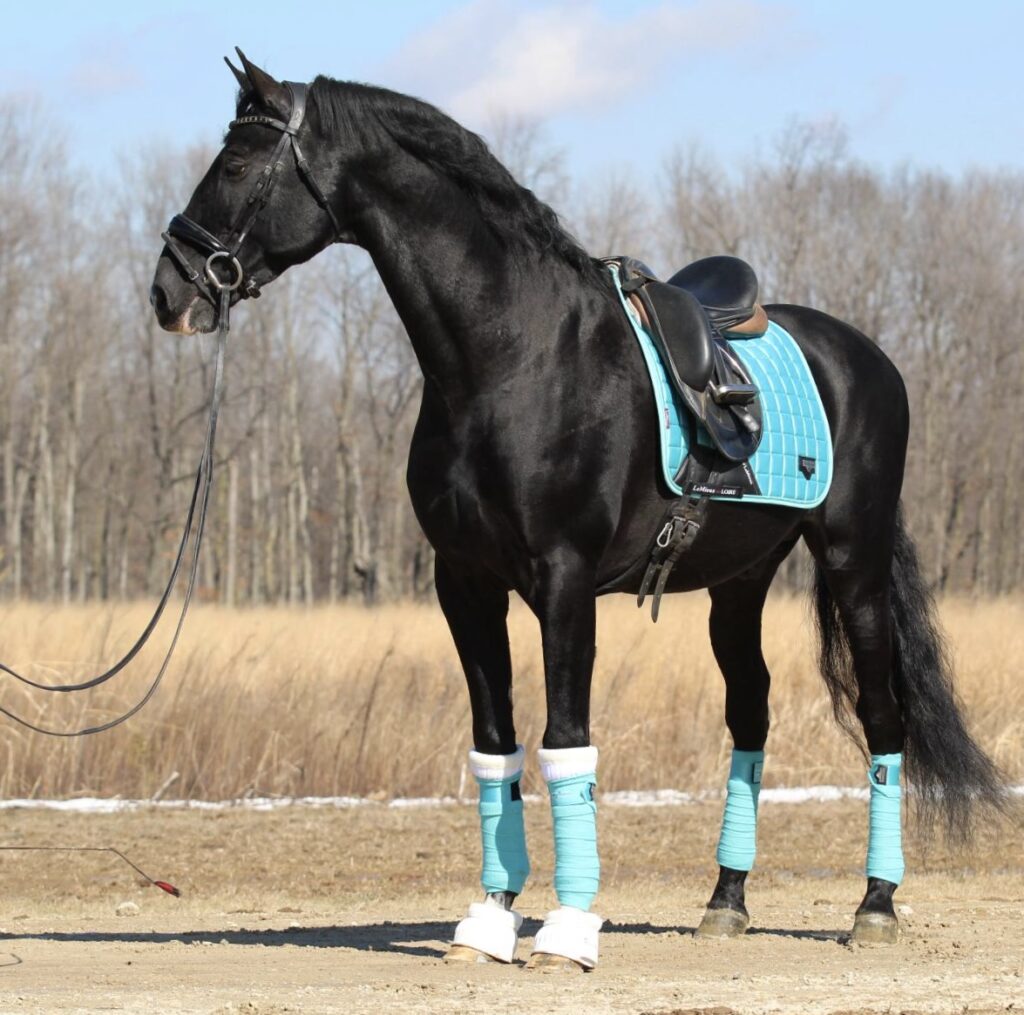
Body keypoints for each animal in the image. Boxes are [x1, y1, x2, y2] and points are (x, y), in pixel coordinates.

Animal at [150, 51, 1004, 970]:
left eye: (237, 165)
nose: (166, 290)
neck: (511, 356)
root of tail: (866, 356)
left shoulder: (563, 583)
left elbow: (567, 741)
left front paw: (566, 929)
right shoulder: (465, 584)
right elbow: (495, 745)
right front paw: (488, 921)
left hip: (854, 561)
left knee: (883, 717)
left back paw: (874, 904)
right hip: (739, 585)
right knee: (751, 713)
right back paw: (726, 898)